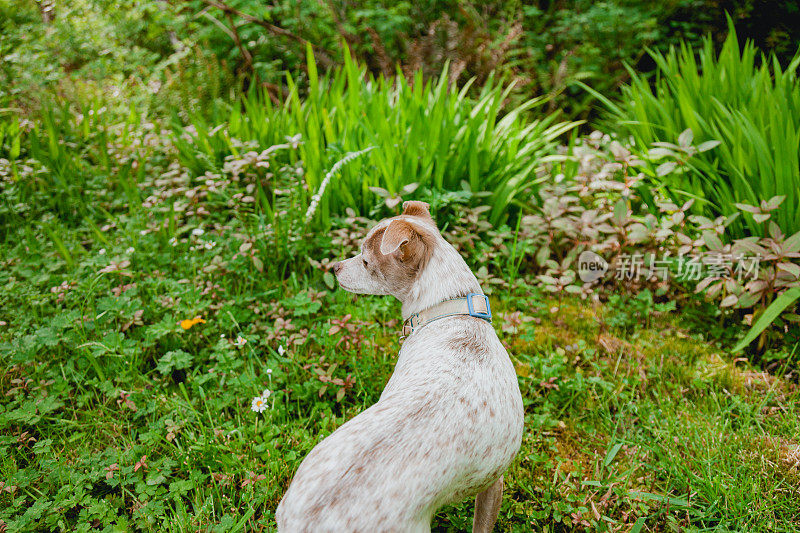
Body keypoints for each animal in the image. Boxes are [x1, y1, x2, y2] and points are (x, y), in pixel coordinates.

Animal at [276, 201, 524, 532]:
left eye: (366, 261)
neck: (451, 311)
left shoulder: (492, 483)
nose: (334, 268)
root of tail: (310, 522)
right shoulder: (494, 483)